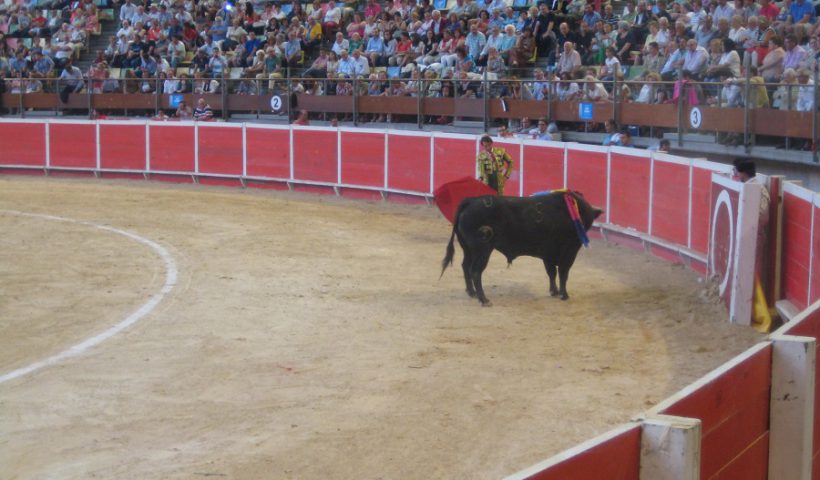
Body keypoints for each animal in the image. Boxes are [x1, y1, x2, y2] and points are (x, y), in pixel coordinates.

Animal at [442, 190, 604, 306]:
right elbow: (563, 273)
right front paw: (564, 294)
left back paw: (472, 292)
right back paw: (484, 299)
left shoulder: (548, 254)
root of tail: (470, 201)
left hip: (468, 249)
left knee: (465, 266)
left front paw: (554, 291)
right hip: (482, 249)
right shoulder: (569, 251)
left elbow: (551, 272)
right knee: (475, 271)